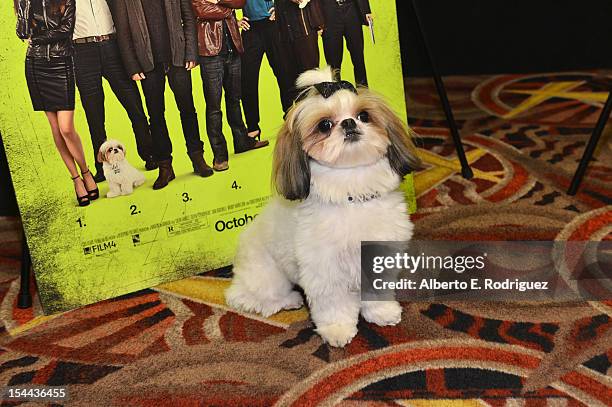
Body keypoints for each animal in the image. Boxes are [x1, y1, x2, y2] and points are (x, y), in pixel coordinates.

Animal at [225, 67, 420, 348]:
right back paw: (287, 300)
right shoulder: (325, 270)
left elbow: (376, 290)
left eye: (364, 115)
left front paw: (382, 312)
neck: (352, 191)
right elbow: (333, 304)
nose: (349, 123)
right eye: (325, 125)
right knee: (244, 297)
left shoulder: (380, 255)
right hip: (267, 277)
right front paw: (337, 330)